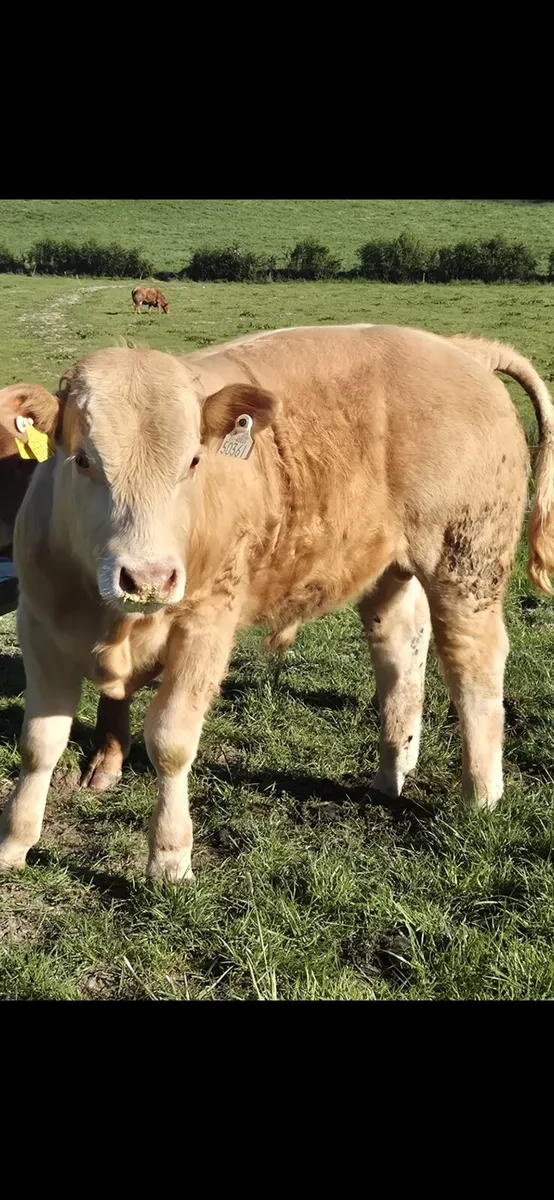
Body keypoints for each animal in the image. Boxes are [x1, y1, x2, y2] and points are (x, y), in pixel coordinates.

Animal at [0, 323, 553, 884]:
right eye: (82, 460)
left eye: (193, 461)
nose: (149, 578)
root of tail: (458, 349)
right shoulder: (38, 624)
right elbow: (40, 742)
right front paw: (15, 841)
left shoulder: (206, 625)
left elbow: (171, 740)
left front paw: (170, 857)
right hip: (391, 571)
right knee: (401, 650)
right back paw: (393, 769)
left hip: (466, 566)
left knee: (473, 669)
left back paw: (481, 795)